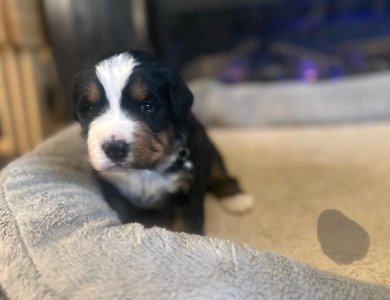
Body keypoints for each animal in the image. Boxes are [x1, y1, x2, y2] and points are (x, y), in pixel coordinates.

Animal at [71, 51, 253, 234]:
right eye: (91, 108)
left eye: (147, 106)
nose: (114, 149)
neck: (145, 171)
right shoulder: (114, 190)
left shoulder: (188, 188)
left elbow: (187, 228)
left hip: (207, 146)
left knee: (218, 171)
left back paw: (237, 198)